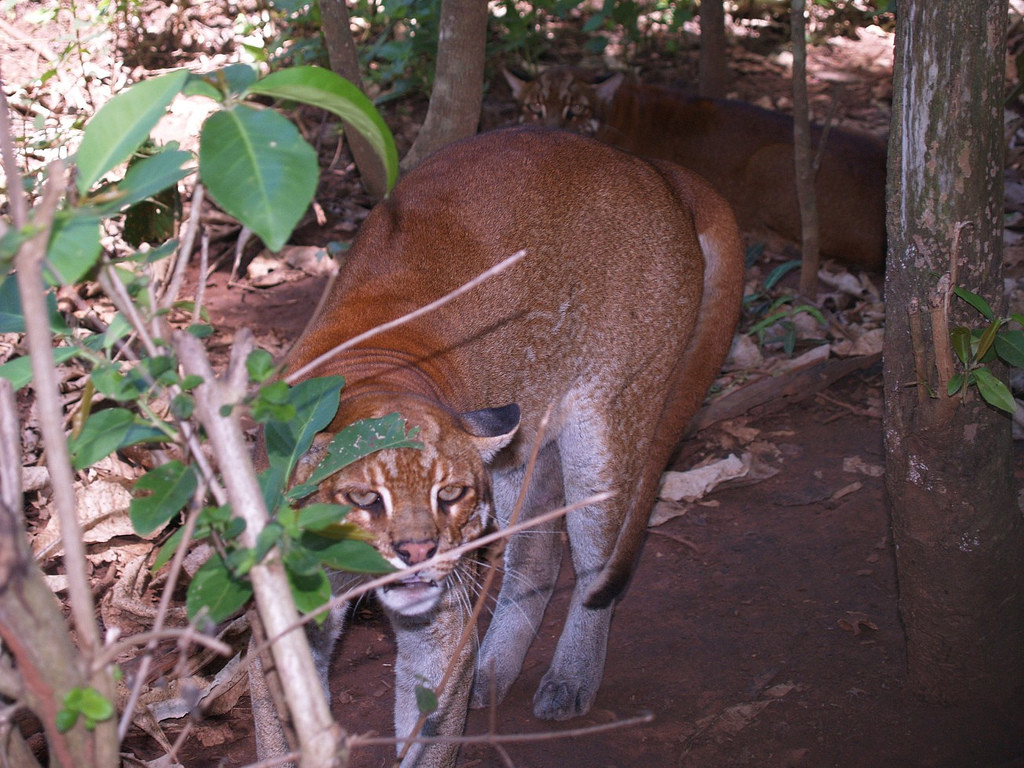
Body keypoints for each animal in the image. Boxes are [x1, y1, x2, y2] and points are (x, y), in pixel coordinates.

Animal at [247, 128, 745, 768]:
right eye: (363, 499)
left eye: (451, 494)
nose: (419, 551)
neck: (368, 375)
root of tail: (645, 164)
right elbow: (279, 734)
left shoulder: (439, 625)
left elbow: (431, 737)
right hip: (522, 448)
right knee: (537, 554)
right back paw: (494, 670)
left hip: (608, 425)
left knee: (595, 564)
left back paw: (569, 677)